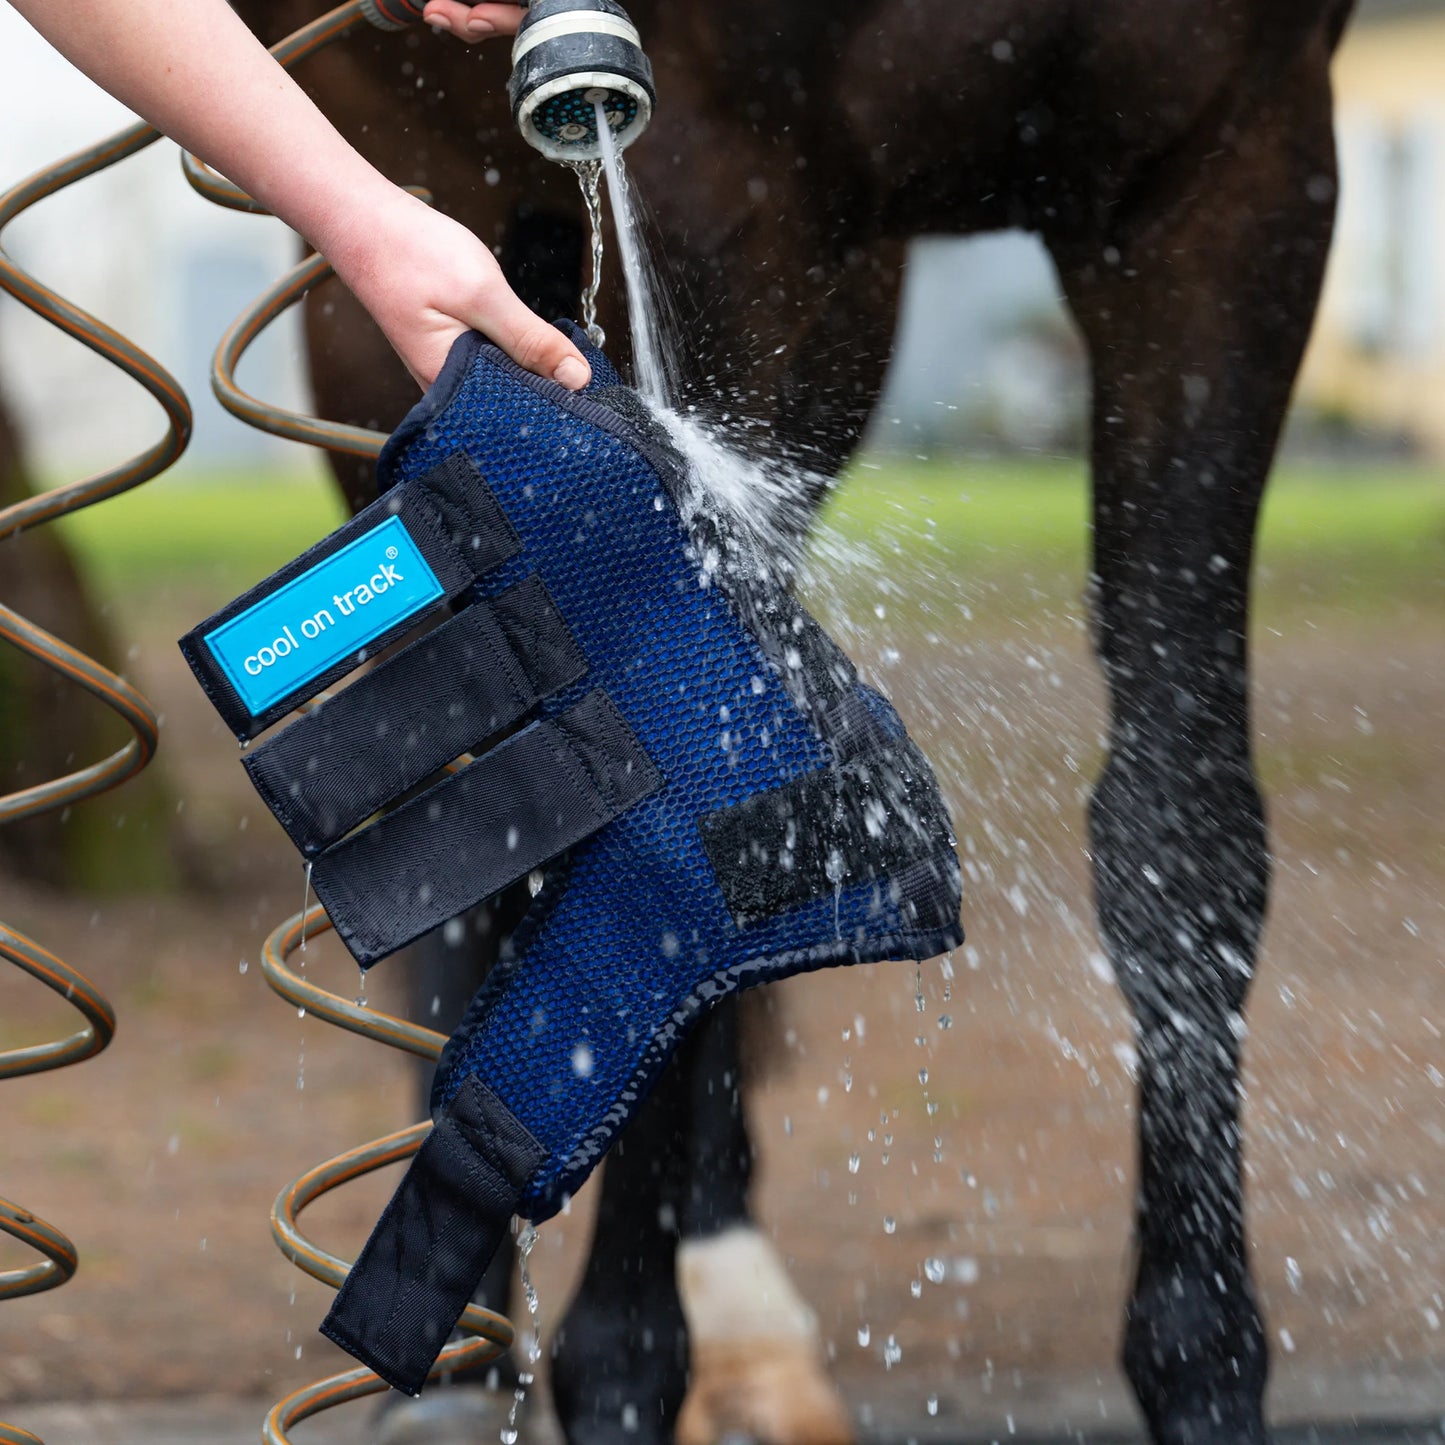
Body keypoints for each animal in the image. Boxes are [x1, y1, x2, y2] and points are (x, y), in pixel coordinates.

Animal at [237, 2, 1356, 1441]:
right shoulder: (713, 182)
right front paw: (617, 1363)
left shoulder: (1234, 171)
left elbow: (1181, 838)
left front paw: (1204, 1364)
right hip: (403, 241)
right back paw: (482, 1354)